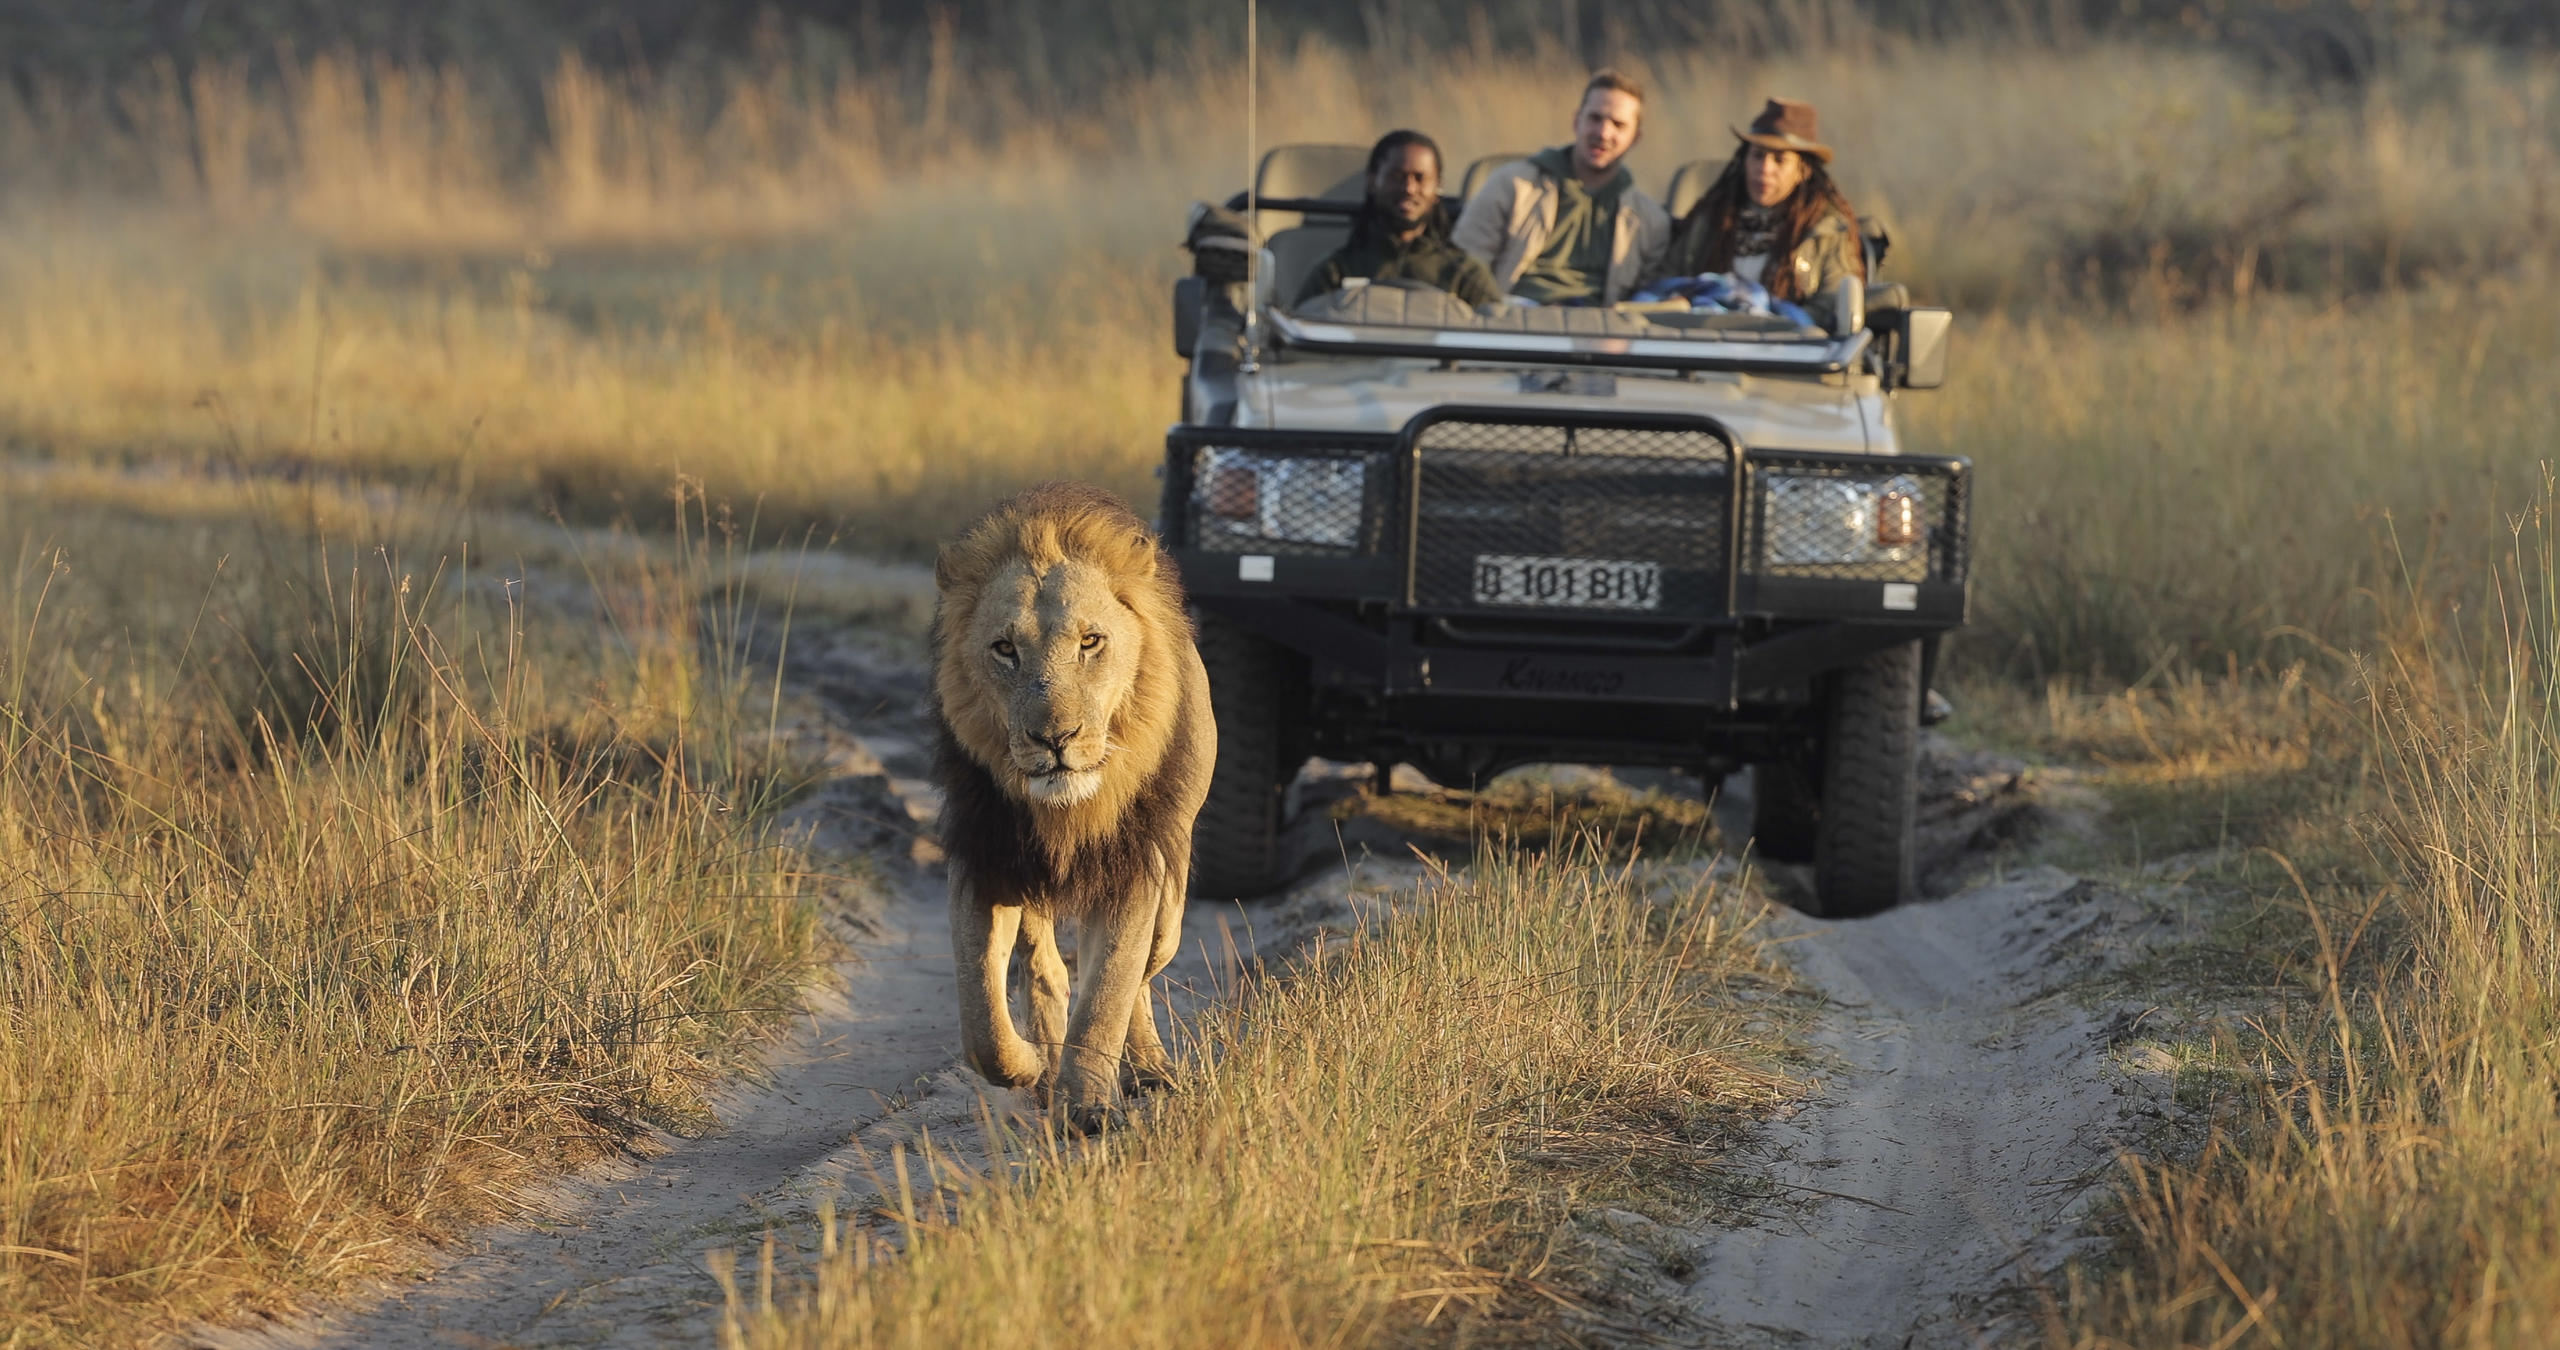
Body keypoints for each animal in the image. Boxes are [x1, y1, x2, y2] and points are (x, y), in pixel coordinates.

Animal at [929, 481, 1214, 1130]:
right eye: (1004, 649)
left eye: (1090, 642)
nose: (1054, 739)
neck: (1069, 810)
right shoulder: (982, 861)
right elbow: (981, 1018)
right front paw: (1031, 1065)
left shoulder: (1137, 866)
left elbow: (1108, 992)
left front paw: (1086, 1106)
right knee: (1045, 967)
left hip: (1172, 881)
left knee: (1143, 969)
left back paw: (1147, 1069)